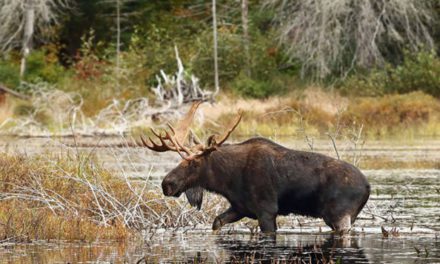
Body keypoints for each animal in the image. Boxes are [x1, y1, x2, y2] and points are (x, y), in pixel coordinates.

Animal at [140, 101, 368, 233]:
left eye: (194, 163)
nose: (167, 184)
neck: (227, 180)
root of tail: (368, 187)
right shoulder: (240, 207)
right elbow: (216, 223)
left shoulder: (266, 210)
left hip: (340, 215)